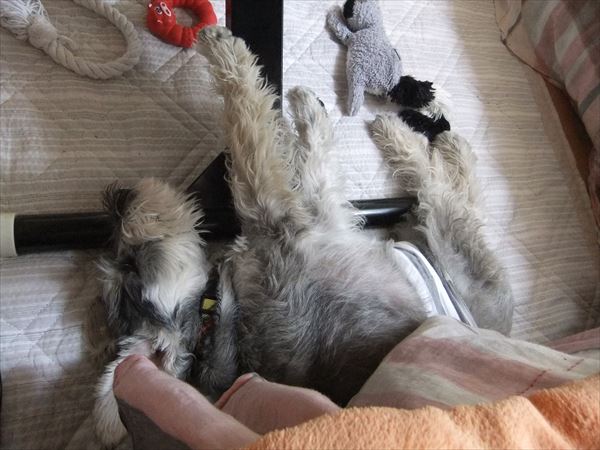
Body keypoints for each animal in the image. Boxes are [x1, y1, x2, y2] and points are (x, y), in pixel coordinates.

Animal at [92, 25, 513, 447]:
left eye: (127, 263)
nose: (117, 201)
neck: (220, 308)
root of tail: (493, 324)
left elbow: (304, 154)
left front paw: (305, 107)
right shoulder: (280, 213)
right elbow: (254, 137)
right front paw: (232, 55)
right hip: (446, 234)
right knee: (443, 188)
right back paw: (414, 135)